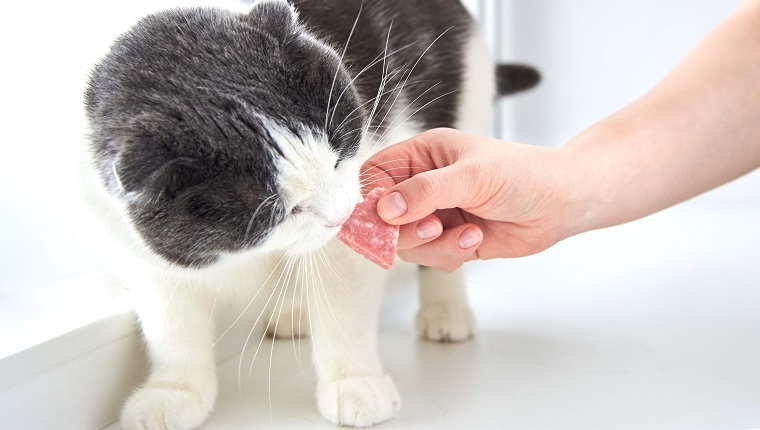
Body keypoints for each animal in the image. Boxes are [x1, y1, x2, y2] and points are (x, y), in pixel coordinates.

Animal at [84, 0, 540, 426]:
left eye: (338, 157)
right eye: (283, 210)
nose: (341, 215)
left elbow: (345, 308)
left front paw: (355, 384)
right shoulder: (141, 256)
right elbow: (171, 327)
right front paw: (173, 393)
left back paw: (444, 311)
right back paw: (294, 313)